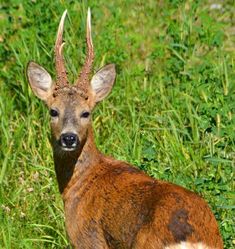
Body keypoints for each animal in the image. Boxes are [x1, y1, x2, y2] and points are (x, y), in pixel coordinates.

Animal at [26, 8, 223, 248]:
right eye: (53, 111)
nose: (69, 138)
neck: (81, 183)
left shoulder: (88, 239)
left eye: (86, 112)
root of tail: (191, 237)